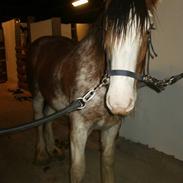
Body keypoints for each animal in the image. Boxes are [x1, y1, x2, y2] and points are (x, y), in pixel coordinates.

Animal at [26, 0, 159, 182]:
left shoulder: (111, 128)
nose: (119, 102)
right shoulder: (78, 129)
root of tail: (41, 42)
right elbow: (77, 170)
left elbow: (108, 164)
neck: (97, 89)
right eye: (106, 27)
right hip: (37, 94)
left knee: (48, 116)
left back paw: (53, 148)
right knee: (39, 118)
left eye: (148, 28)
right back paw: (41, 154)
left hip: (53, 98)